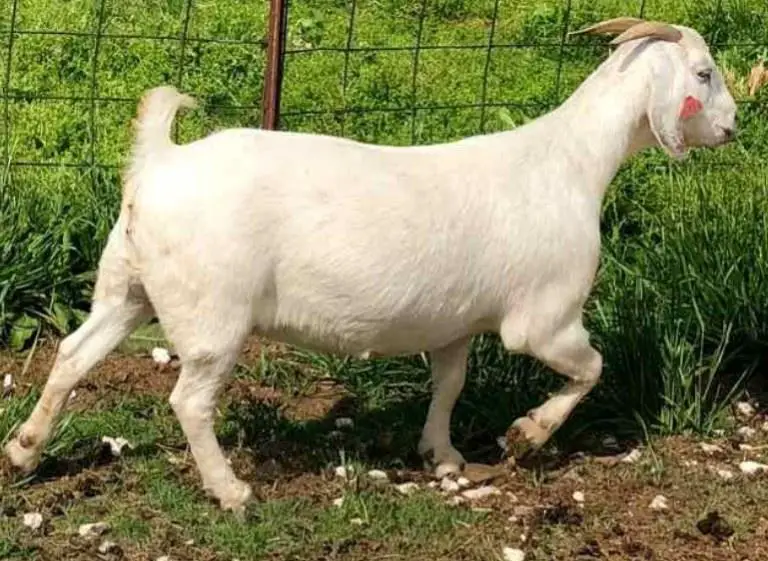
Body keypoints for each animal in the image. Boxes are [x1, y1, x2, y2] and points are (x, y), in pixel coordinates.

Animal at [6, 17, 737, 512]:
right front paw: (526, 434)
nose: (732, 128)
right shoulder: (545, 318)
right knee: (189, 400)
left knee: (72, 353)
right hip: (214, 312)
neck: (574, 162)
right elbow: (589, 367)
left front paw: (444, 455)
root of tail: (160, 161)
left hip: (127, 286)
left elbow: (450, 384)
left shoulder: (453, 323)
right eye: (704, 74)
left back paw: (23, 450)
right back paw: (231, 490)